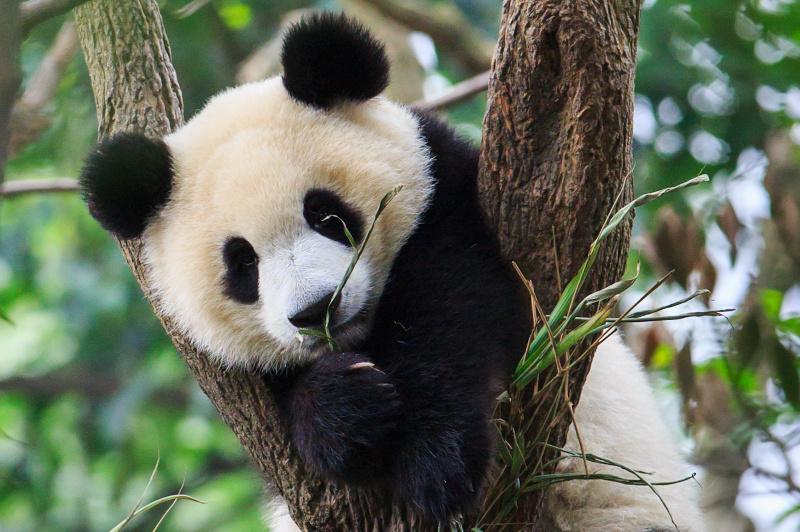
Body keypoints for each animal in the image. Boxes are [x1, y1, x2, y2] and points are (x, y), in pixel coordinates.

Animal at [80, 13, 702, 531]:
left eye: (327, 214)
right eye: (242, 263)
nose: (317, 310)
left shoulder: (449, 198)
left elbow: (456, 310)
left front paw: (436, 463)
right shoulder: (243, 382)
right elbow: (284, 410)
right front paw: (345, 409)